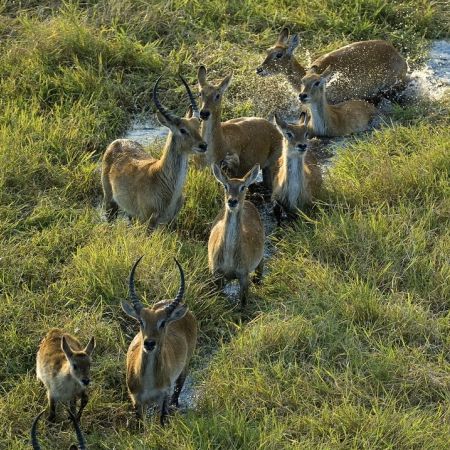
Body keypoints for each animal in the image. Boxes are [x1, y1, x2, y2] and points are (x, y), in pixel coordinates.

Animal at [101, 75, 207, 230]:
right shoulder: (147, 222)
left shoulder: (169, 222)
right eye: (182, 130)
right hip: (109, 200)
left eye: (198, 125)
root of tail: (118, 141)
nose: (203, 145)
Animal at [121, 255, 197, 424]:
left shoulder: (164, 396)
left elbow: (162, 420)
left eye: (162, 323)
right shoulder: (137, 401)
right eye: (141, 321)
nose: (149, 343)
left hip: (186, 364)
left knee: (179, 387)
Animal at [209, 163, 266, 308]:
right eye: (226, 186)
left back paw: (258, 280)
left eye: (243, 187)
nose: (232, 201)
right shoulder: (215, 271)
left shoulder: (243, 274)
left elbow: (243, 302)